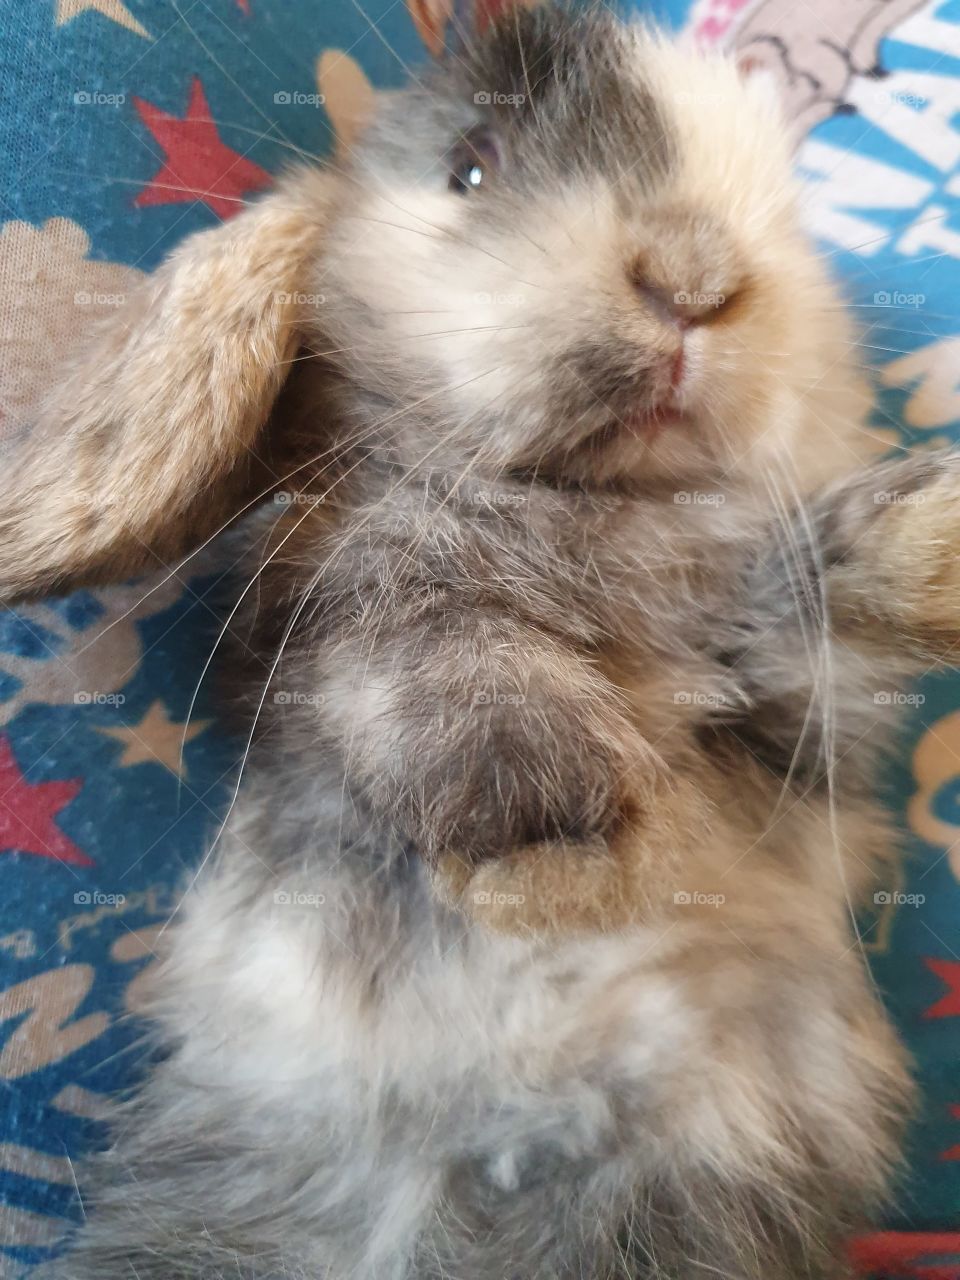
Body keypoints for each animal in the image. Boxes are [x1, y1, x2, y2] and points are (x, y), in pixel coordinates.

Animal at [4, 4, 960, 1276]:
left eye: (788, 212)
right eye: (470, 166)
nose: (696, 278)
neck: (602, 505)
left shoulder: (796, 723)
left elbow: (808, 592)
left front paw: (933, 537)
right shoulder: (355, 610)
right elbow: (448, 664)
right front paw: (562, 848)